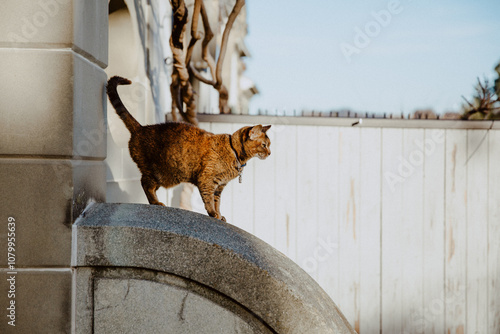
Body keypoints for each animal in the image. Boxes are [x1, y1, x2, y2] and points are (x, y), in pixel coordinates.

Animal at [107, 76, 272, 222]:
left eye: (269, 145)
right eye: (264, 145)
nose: (270, 153)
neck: (235, 153)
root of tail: (140, 128)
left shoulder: (219, 187)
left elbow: (217, 202)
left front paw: (220, 216)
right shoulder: (207, 180)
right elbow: (209, 201)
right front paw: (213, 214)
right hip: (160, 173)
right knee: (145, 184)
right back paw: (156, 203)